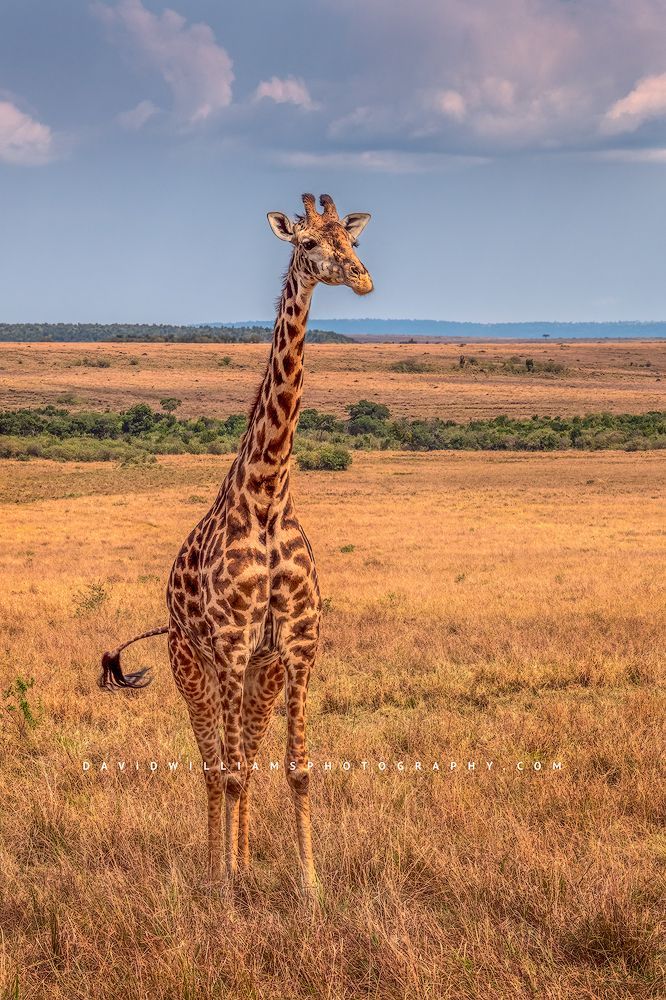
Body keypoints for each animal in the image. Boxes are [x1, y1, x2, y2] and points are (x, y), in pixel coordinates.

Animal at [100, 193, 373, 892]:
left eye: (350, 239)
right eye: (308, 243)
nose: (361, 278)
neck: (269, 501)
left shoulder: (297, 650)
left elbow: (297, 768)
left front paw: (309, 885)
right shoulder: (228, 647)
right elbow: (222, 771)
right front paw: (224, 888)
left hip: (259, 676)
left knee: (245, 759)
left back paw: (245, 861)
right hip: (191, 668)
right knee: (211, 764)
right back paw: (213, 867)